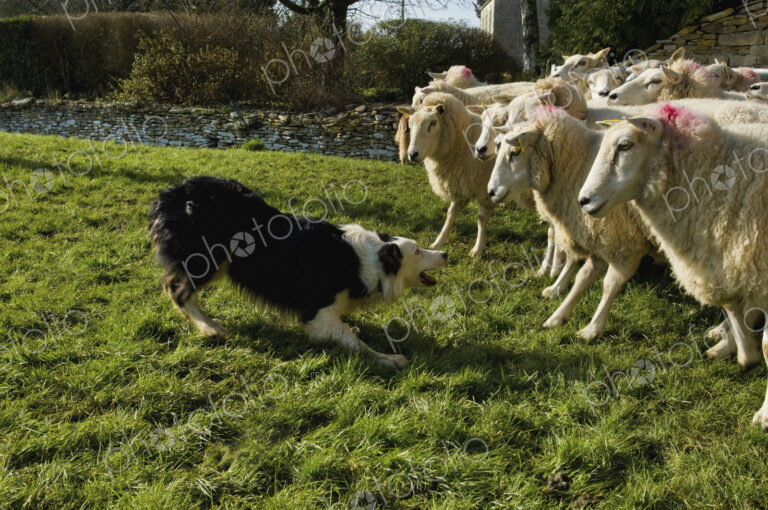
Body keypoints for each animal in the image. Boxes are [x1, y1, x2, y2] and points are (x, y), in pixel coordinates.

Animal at [396, 92, 535, 257]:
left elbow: (481, 218)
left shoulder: (484, 190)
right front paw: (438, 241)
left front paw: (478, 249)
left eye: (433, 123)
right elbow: (450, 214)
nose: (412, 154)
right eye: (410, 124)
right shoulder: (460, 183)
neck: (462, 142)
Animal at [487, 107, 652, 339]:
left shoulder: (624, 243)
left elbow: (609, 285)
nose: (491, 192)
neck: (578, 165)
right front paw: (558, 293)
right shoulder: (591, 231)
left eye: (516, 152)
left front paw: (593, 328)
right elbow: (580, 270)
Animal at [576, 104, 768, 429]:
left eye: (625, 145)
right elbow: (732, 305)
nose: (583, 201)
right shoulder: (725, 260)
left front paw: (764, 413)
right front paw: (744, 353)